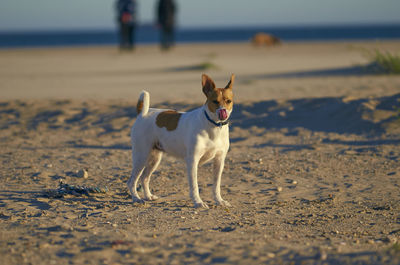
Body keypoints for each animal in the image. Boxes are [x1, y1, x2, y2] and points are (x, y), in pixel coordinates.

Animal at [128, 73, 234, 207]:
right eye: (215, 101)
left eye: (228, 101)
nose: (223, 112)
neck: (213, 126)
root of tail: (143, 113)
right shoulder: (192, 161)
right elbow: (194, 185)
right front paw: (198, 202)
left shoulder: (219, 160)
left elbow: (216, 185)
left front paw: (219, 200)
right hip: (141, 156)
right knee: (132, 181)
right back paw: (136, 198)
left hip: (154, 159)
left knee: (144, 178)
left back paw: (148, 196)